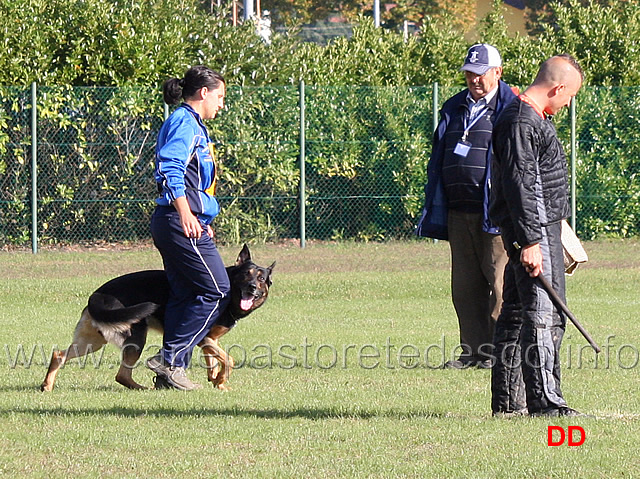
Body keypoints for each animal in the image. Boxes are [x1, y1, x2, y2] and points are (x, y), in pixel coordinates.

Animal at [40, 246, 276, 392]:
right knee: (121, 375)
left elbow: (214, 361)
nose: (252, 287)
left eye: (261, 278)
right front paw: (220, 380)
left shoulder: (210, 339)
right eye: (246, 274)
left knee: (59, 355)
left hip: (92, 342)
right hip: (135, 338)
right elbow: (229, 359)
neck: (229, 293)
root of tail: (97, 295)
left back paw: (47, 385)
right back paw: (143, 389)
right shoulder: (203, 337)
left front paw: (217, 381)